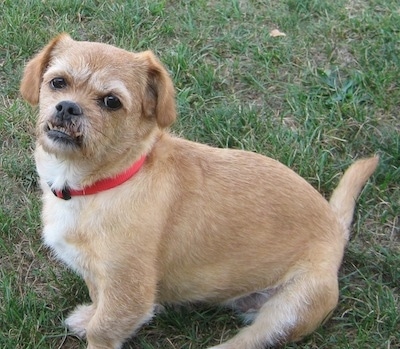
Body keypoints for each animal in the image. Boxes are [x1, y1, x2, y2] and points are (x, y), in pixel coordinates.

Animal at [20, 34, 380, 348]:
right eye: (58, 82)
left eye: (111, 101)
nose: (67, 107)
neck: (100, 185)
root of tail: (336, 228)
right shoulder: (99, 278)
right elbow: (98, 302)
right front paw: (88, 316)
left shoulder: (129, 294)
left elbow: (104, 329)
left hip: (288, 311)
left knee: (249, 341)